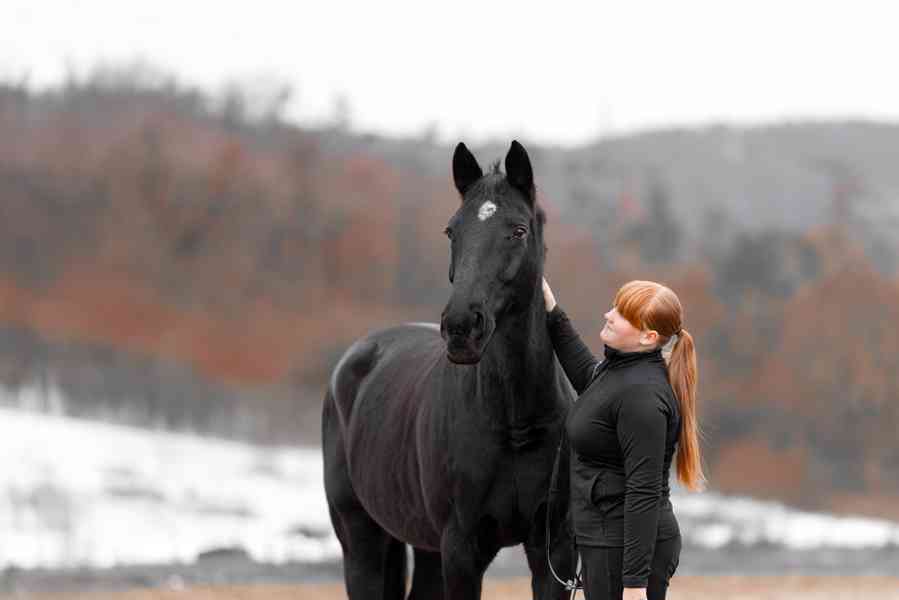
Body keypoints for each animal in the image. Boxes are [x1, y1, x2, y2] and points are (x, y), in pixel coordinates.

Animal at [324, 142, 576, 600]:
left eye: (518, 230)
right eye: (451, 231)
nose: (461, 327)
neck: (514, 421)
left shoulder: (555, 552)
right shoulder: (461, 549)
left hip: (423, 544)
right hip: (360, 538)